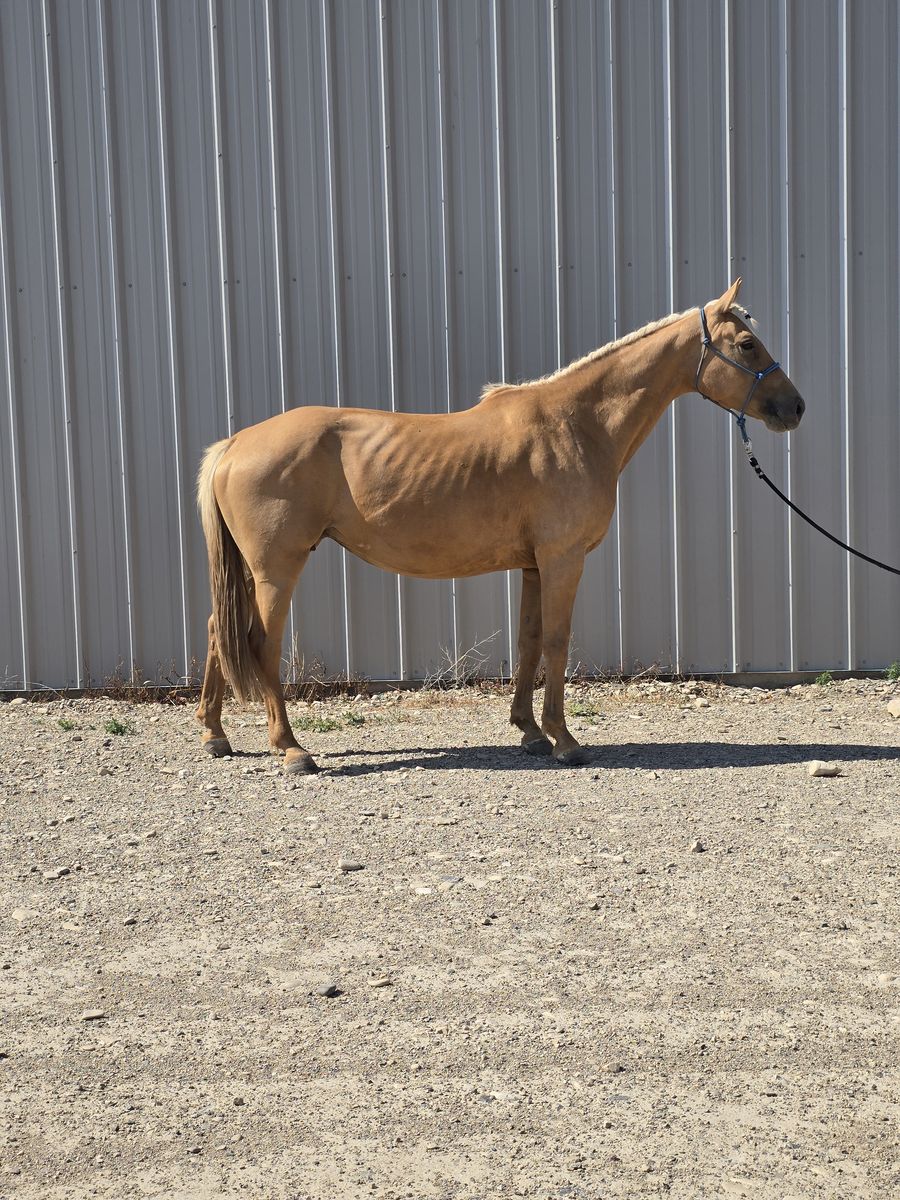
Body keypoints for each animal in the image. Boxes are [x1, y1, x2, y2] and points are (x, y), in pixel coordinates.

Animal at [195, 279, 804, 774]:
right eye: (746, 345)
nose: (794, 407)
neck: (576, 424)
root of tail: (235, 443)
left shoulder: (534, 566)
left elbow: (530, 641)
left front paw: (530, 732)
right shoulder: (563, 559)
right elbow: (557, 641)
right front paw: (565, 741)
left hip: (248, 570)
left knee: (216, 630)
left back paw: (215, 736)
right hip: (277, 568)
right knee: (260, 642)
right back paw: (291, 749)